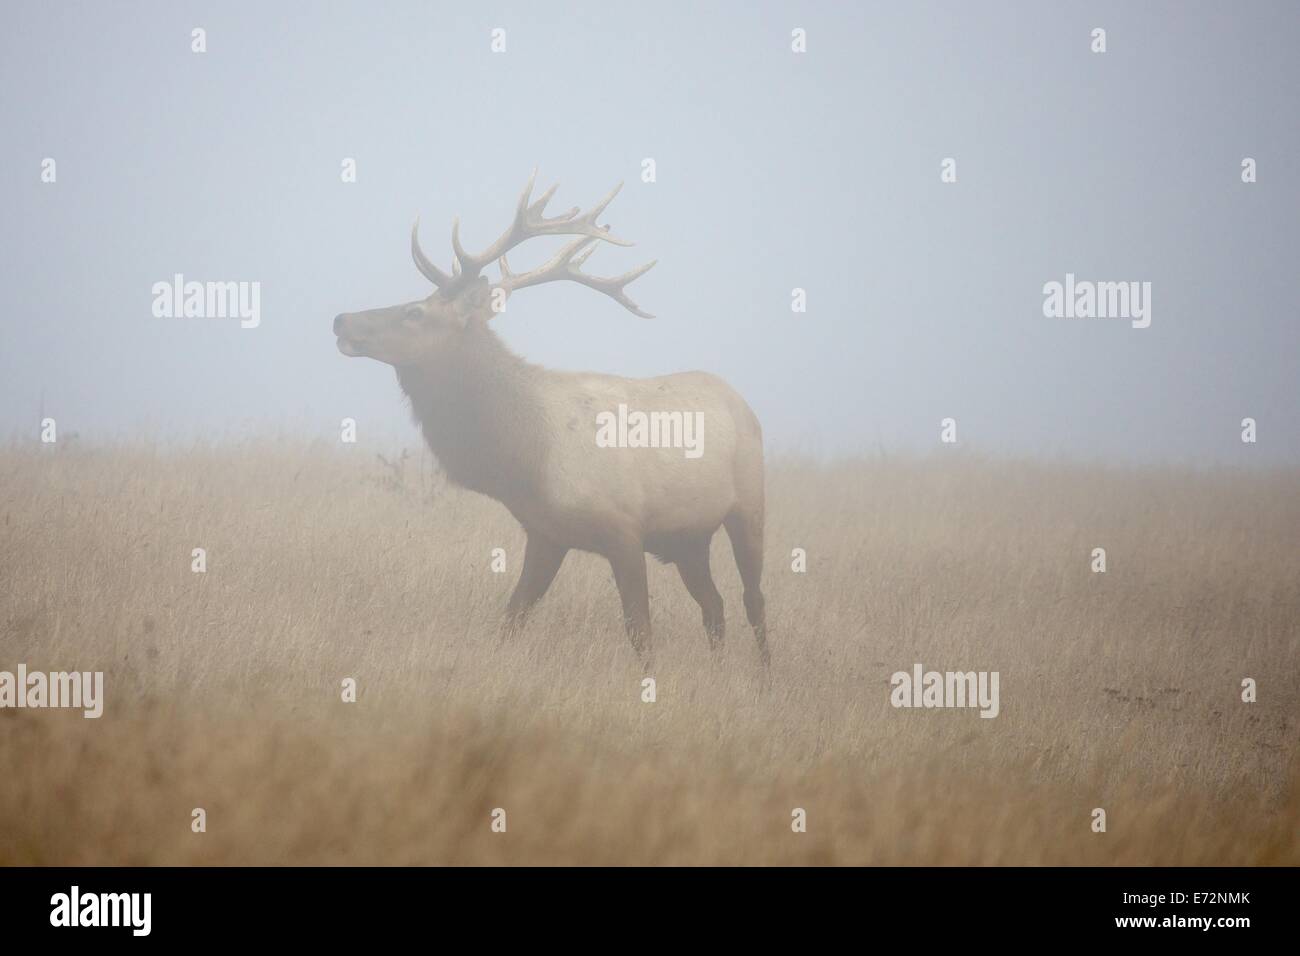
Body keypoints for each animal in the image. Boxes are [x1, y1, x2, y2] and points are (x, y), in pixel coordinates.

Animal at [330, 174, 764, 665]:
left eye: (414, 312)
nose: (341, 320)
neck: (526, 459)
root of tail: (741, 402)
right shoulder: (545, 533)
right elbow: (512, 617)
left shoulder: (624, 528)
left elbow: (640, 630)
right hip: (688, 539)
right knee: (715, 605)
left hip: (749, 505)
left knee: (753, 600)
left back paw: (764, 674)